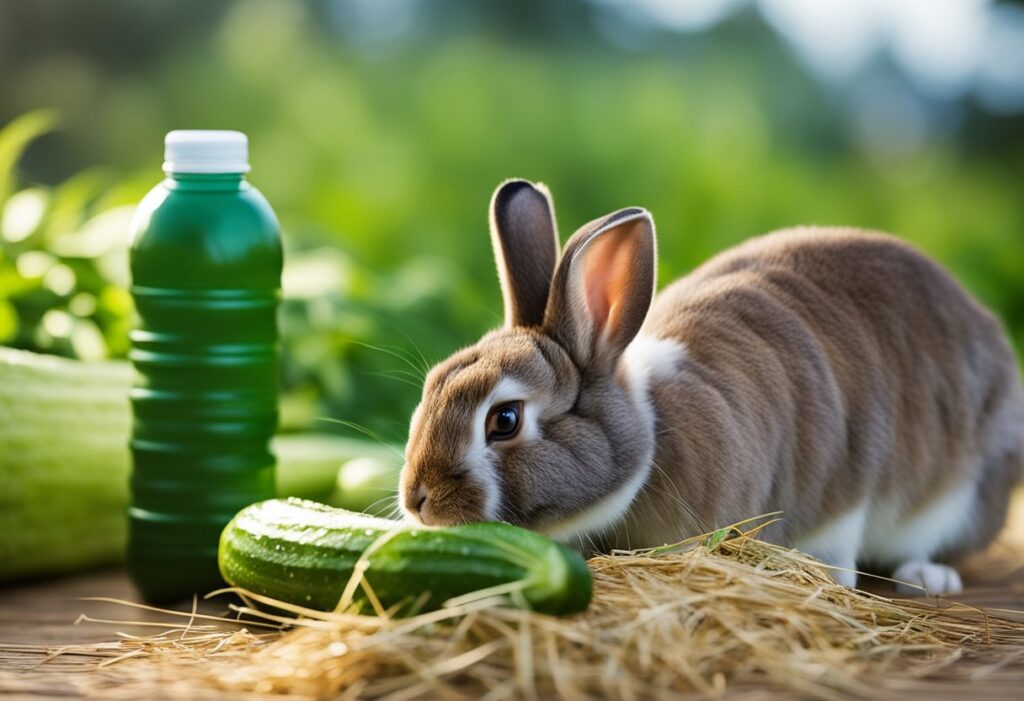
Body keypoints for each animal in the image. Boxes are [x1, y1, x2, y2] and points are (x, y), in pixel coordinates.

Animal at [399, 179, 1024, 596]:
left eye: (504, 419)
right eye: (430, 388)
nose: (416, 499)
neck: (650, 437)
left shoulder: (842, 481)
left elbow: (837, 539)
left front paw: (832, 579)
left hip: (960, 494)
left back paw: (928, 575)